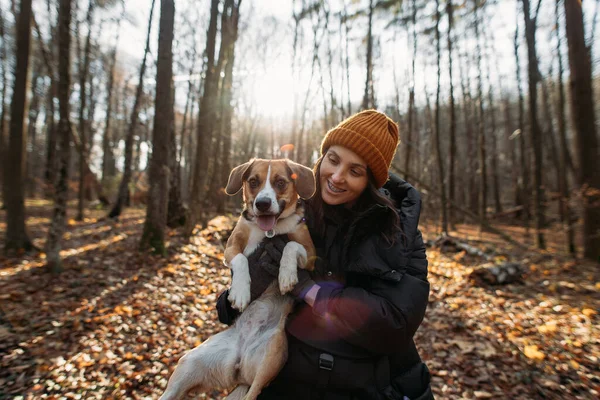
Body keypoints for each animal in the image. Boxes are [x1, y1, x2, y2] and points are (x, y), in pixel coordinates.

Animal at [159, 159, 318, 400]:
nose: (262, 203)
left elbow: (290, 245)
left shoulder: (310, 254)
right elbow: (242, 260)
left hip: (272, 356)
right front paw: (240, 293)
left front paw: (287, 275)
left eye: (280, 182)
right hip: (189, 362)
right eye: (253, 182)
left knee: (254, 391)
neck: (271, 231)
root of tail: (239, 365)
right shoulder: (231, 246)